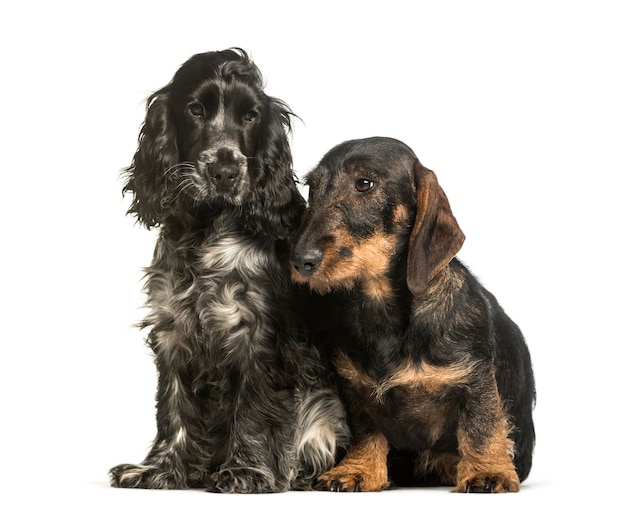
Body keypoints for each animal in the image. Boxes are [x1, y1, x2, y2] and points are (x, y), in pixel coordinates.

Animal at [109, 49, 348, 492]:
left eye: (251, 116)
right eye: (195, 110)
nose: (225, 171)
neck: (206, 230)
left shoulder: (261, 333)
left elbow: (254, 409)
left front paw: (247, 471)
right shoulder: (173, 328)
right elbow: (171, 408)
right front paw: (160, 469)